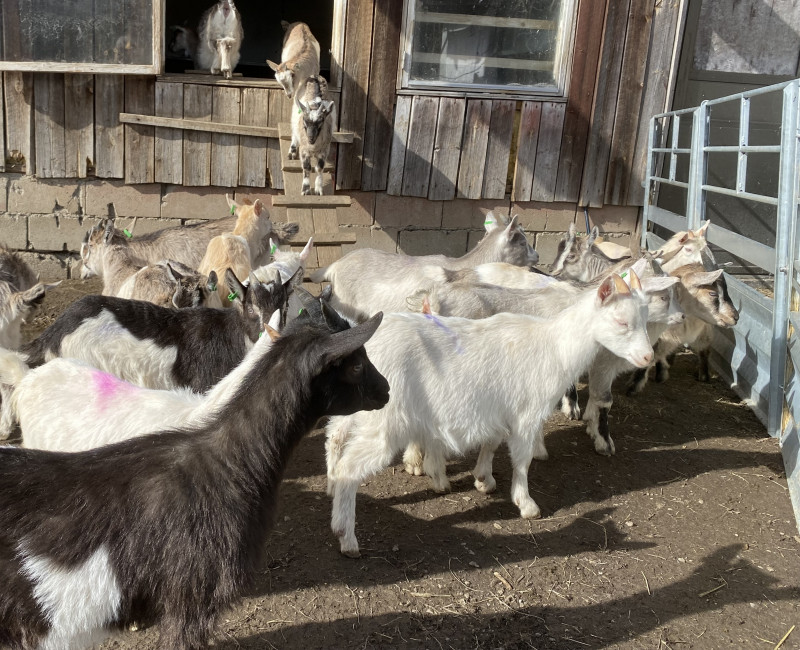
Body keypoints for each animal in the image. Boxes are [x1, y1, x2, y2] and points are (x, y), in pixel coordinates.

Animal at [325, 274, 652, 557]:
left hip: (353, 408)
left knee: (335, 438)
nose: (648, 357)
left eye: (646, 320)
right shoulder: (526, 414)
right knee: (350, 469)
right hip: (385, 421)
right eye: (621, 321)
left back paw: (330, 488)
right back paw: (346, 536)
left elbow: (492, 442)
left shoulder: (497, 409)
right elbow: (522, 459)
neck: (556, 348)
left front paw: (484, 479)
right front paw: (526, 503)